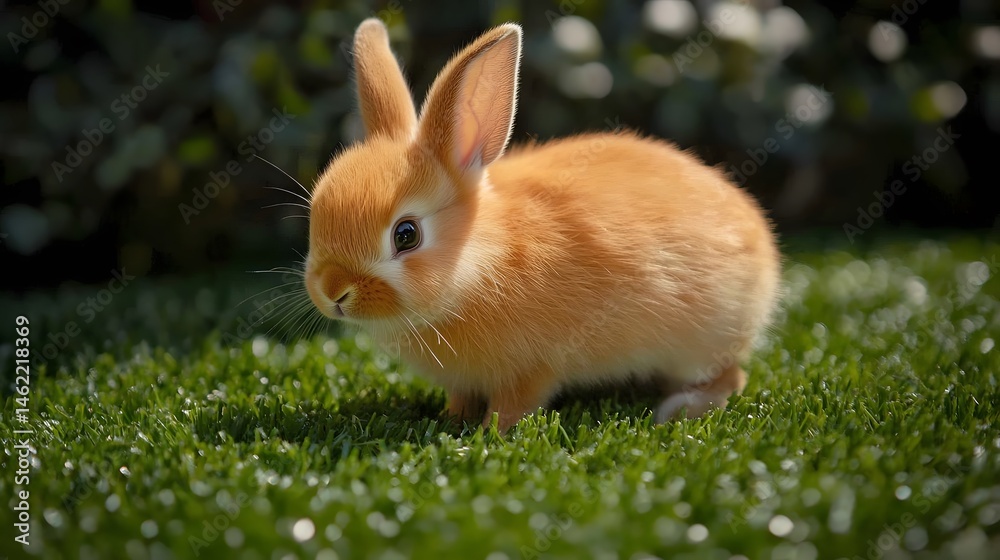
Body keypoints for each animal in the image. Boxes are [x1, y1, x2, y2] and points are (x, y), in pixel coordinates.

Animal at [304, 18, 782, 432]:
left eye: (406, 235)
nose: (334, 292)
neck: (482, 261)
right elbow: (461, 398)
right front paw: (451, 420)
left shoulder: (533, 368)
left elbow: (515, 405)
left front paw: (490, 434)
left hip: (700, 346)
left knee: (730, 379)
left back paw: (679, 410)